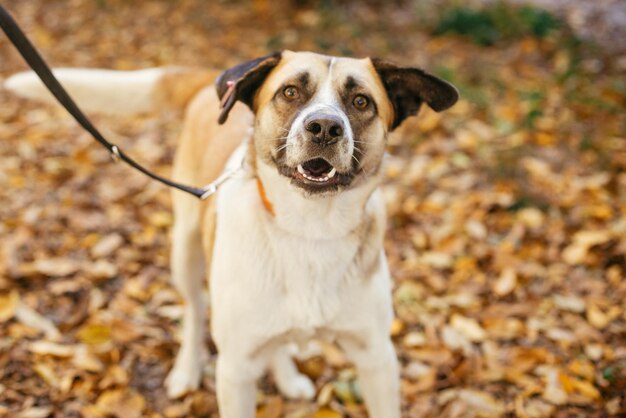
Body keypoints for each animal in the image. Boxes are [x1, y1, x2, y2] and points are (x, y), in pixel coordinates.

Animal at [2, 51, 456, 418]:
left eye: (361, 101)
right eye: (290, 92)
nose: (325, 127)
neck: (308, 226)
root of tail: (214, 82)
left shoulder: (377, 359)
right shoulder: (235, 370)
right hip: (185, 251)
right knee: (194, 310)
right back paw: (187, 369)